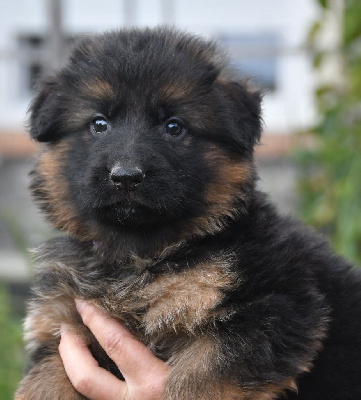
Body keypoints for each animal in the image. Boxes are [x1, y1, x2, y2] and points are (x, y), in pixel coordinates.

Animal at [14, 28, 360, 400]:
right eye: (99, 124)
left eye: (174, 126)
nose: (126, 176)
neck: (138, 255)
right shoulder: (63, 328)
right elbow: (47, 377)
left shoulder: (275, 309)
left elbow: (198, 381)